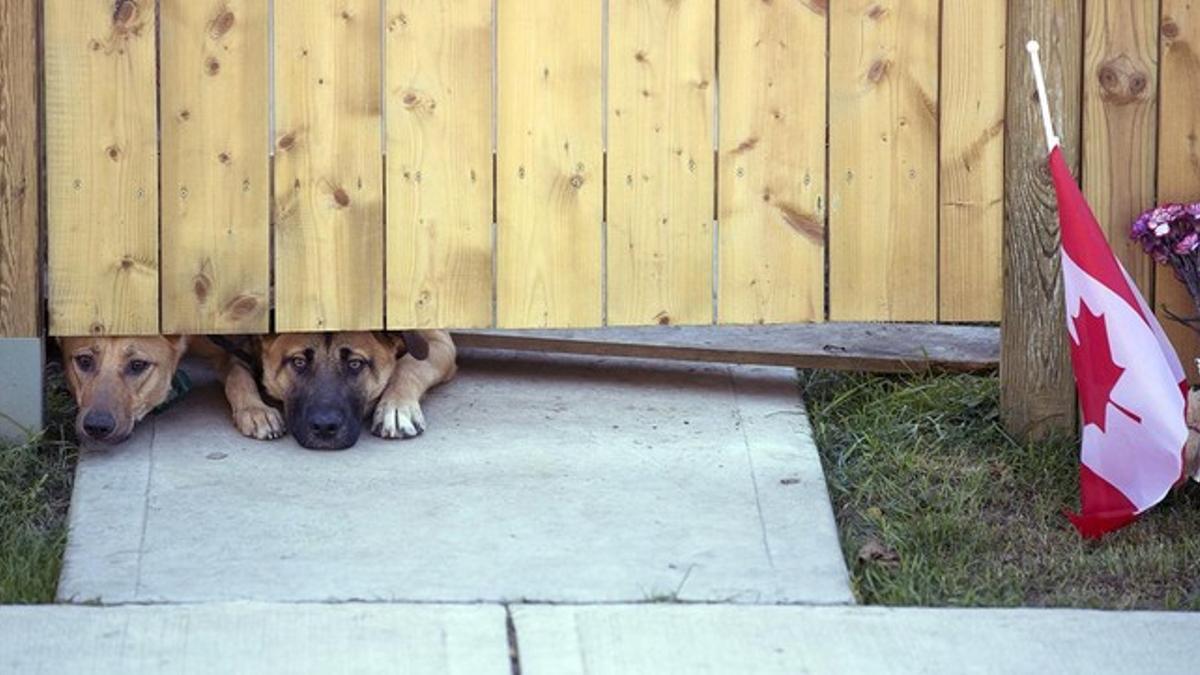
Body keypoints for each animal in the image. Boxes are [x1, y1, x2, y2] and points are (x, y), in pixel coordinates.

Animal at [229, 329, 458, 449]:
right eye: (298, 362)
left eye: (355, 364)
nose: (324, 427)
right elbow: (237, 372)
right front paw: (254, 410)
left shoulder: (438, 339)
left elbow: (408, 365)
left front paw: (397, 408)